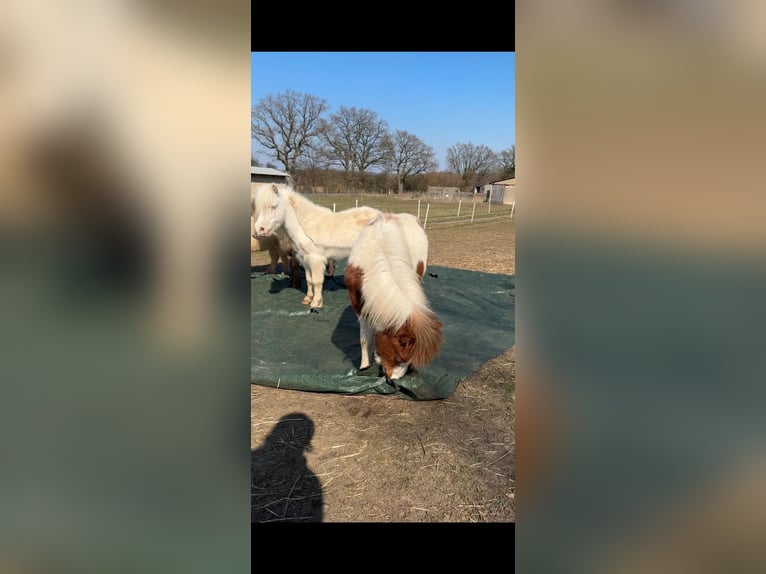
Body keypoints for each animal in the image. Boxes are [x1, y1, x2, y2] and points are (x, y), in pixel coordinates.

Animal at [252, 183, 380, 310]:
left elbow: (316, 281)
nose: (259, 230)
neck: (304, 227)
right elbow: (309, 280)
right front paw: (307, 299)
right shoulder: (305, 260)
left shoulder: (316, 260)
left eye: (273, 207)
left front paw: (316, 303)